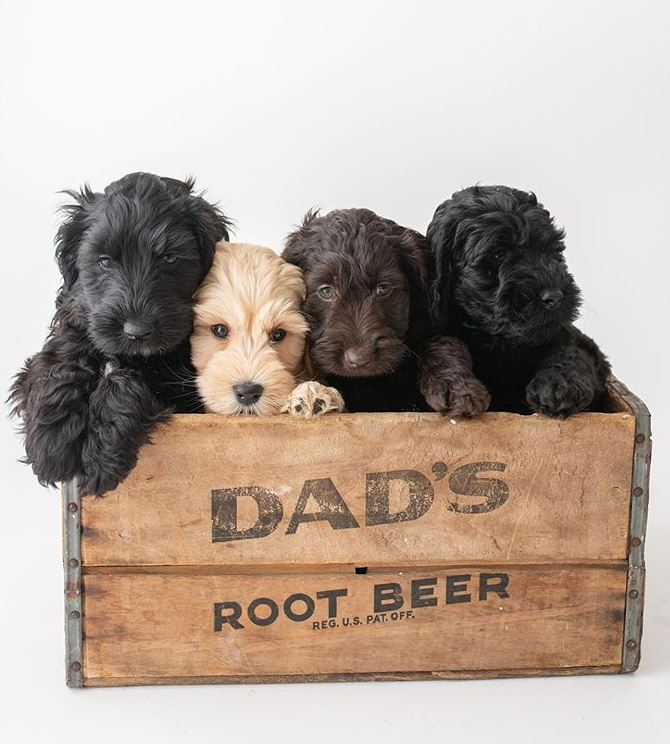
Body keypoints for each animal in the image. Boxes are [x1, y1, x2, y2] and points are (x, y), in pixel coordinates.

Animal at [9, 173, 231, 494]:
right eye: (104, 261)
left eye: (169, 258)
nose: (136, 331)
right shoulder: (66, 335)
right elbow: (53, 370)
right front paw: (53, 444)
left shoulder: (182, 391)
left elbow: (127, 381)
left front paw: (100, 456)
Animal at [428, 183, 612, 416]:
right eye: (499, 253)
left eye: (553, 250)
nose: (554, 296)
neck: (501, 343)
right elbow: (445, 346)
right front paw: (457, 388)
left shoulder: (571, 336)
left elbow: (571, 351)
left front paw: (558, 385)